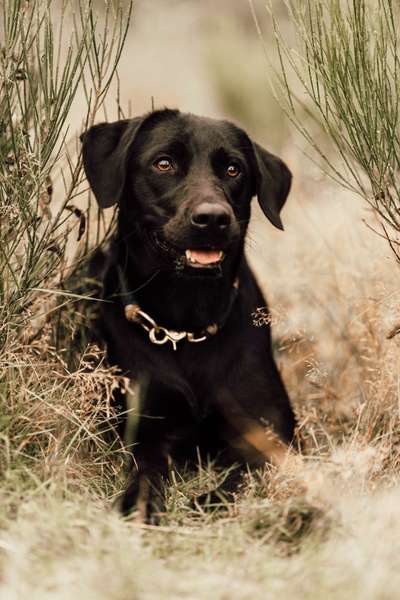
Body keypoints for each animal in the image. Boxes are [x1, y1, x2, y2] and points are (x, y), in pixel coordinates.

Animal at [81, 109, 296, 520]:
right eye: (163, 163)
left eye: (233, 169)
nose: (212, 218)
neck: (186, 322)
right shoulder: (145, 426)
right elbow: (146, 469)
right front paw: (138, 504)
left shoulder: (271, 429)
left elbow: (248, 472)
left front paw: (211, 499)